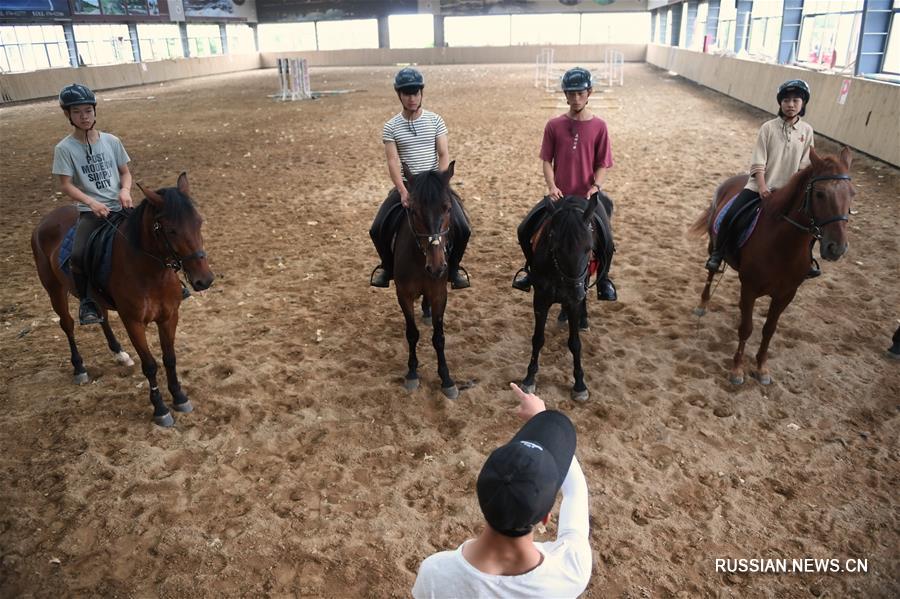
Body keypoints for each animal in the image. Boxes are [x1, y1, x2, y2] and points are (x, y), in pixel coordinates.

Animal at [31, 172, 214, 426]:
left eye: (199, 222)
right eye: (171, 231)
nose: (204, 280)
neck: (151, 273)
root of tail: (46, 220)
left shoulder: (169, 317)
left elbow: (170, 358)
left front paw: (179, 396)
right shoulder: (133, 322)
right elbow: (150, 365)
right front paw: (160, 409)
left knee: (102, 317)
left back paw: (119, 353)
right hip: (54, 289)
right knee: (67, 324)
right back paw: (79, 368)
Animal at [396, 162, 460, 400]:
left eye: (448, 208)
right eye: (414, 211)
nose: (436, 267)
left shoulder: (439, 294)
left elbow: (438, 338)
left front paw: (447, 379)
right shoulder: (403, 294)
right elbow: (412, 333)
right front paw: (412, 373)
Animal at [692, 148, 856, 386]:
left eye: (852, 194)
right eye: (820, 194)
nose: (837, 248)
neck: (783, 246)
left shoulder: (786, 294)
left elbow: (769, 330)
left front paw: (761, 368)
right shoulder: (750, 287)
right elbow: (746, 328)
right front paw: (737, 370)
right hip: (713, 244)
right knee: (711, 273)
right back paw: (702, 304)